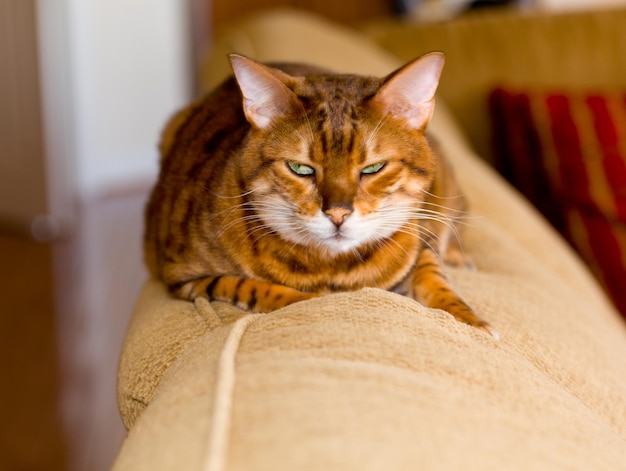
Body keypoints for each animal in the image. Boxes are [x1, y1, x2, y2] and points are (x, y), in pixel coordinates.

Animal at [143, 52, 498, 340]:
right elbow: (251, 286)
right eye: (300, 168)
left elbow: (433, 276)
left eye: (373, 168)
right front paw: (307, 300)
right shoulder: (185, 276)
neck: (334, 269)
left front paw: (470, 319)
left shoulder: (416, 240)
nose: (338, 214)